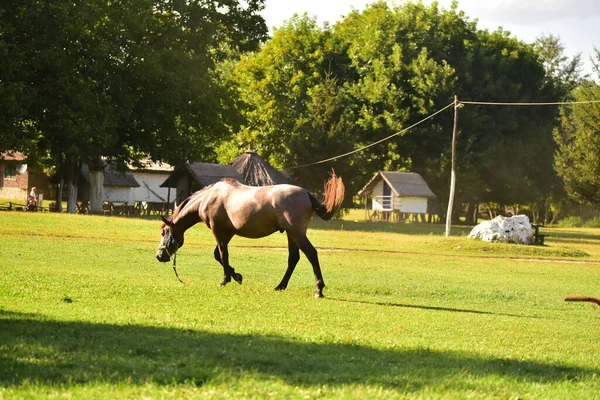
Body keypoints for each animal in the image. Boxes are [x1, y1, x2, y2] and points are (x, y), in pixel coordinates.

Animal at [157, 171, 344, 296]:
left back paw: (318, 289)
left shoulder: (218, 231)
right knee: (293, 258)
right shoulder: (228, 233)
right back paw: (280, 286)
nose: (159, 256)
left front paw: (225, 279)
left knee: (311, 254)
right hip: (291, 234)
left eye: (164, 232)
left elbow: (223, 255)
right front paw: (236, 276)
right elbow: (219, 255)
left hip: (297, 233)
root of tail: (306, 193)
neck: (208, 198)